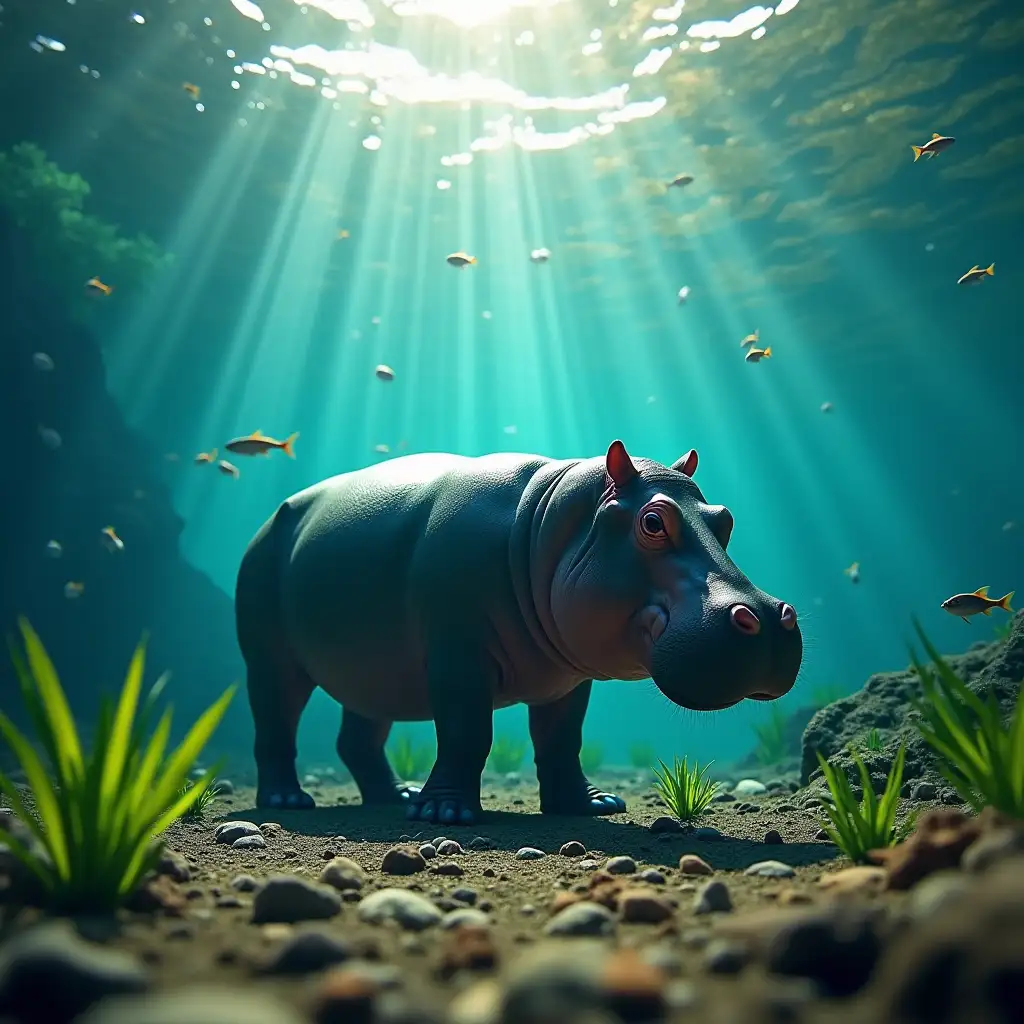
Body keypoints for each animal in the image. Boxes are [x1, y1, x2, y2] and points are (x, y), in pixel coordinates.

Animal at [235, 440, 802, 823]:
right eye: (653, 522)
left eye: (724, 518)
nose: (769, 619)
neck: (549, 521)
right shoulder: (457, 659)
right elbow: (466, 732)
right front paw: (445, 815)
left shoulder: (567, 679)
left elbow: (562, 739)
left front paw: (592, 805)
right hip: (269, 657)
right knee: (275, 723)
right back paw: (289, 801)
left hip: (372, 671)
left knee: (358, 737)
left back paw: (396, 796)